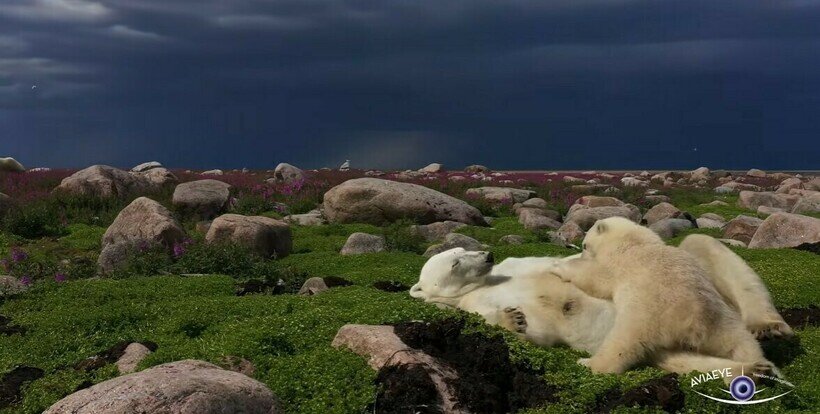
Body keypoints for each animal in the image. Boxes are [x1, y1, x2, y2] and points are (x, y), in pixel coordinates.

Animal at [410, 234, 796, 376]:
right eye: (455, 262)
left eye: (464, 248)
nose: (488, 255)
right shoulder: (472, 304)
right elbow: (533, 329)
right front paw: (513, 319)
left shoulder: (515, 266)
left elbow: (561, 267)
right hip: (659, 338)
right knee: (681, 358)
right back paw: (756, 368)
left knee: (702, 246)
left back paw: (768, 327)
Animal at [552, 217, 776, 376]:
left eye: (584, 245)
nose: (580, 250)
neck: (637, 241)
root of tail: (692, 325)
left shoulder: (620, 263)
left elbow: (596, 278)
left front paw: (559, 266)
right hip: (720, 321)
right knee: (740, 342)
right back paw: (760, 366)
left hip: (644, 316)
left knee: (622, 342)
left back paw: (590, 363)